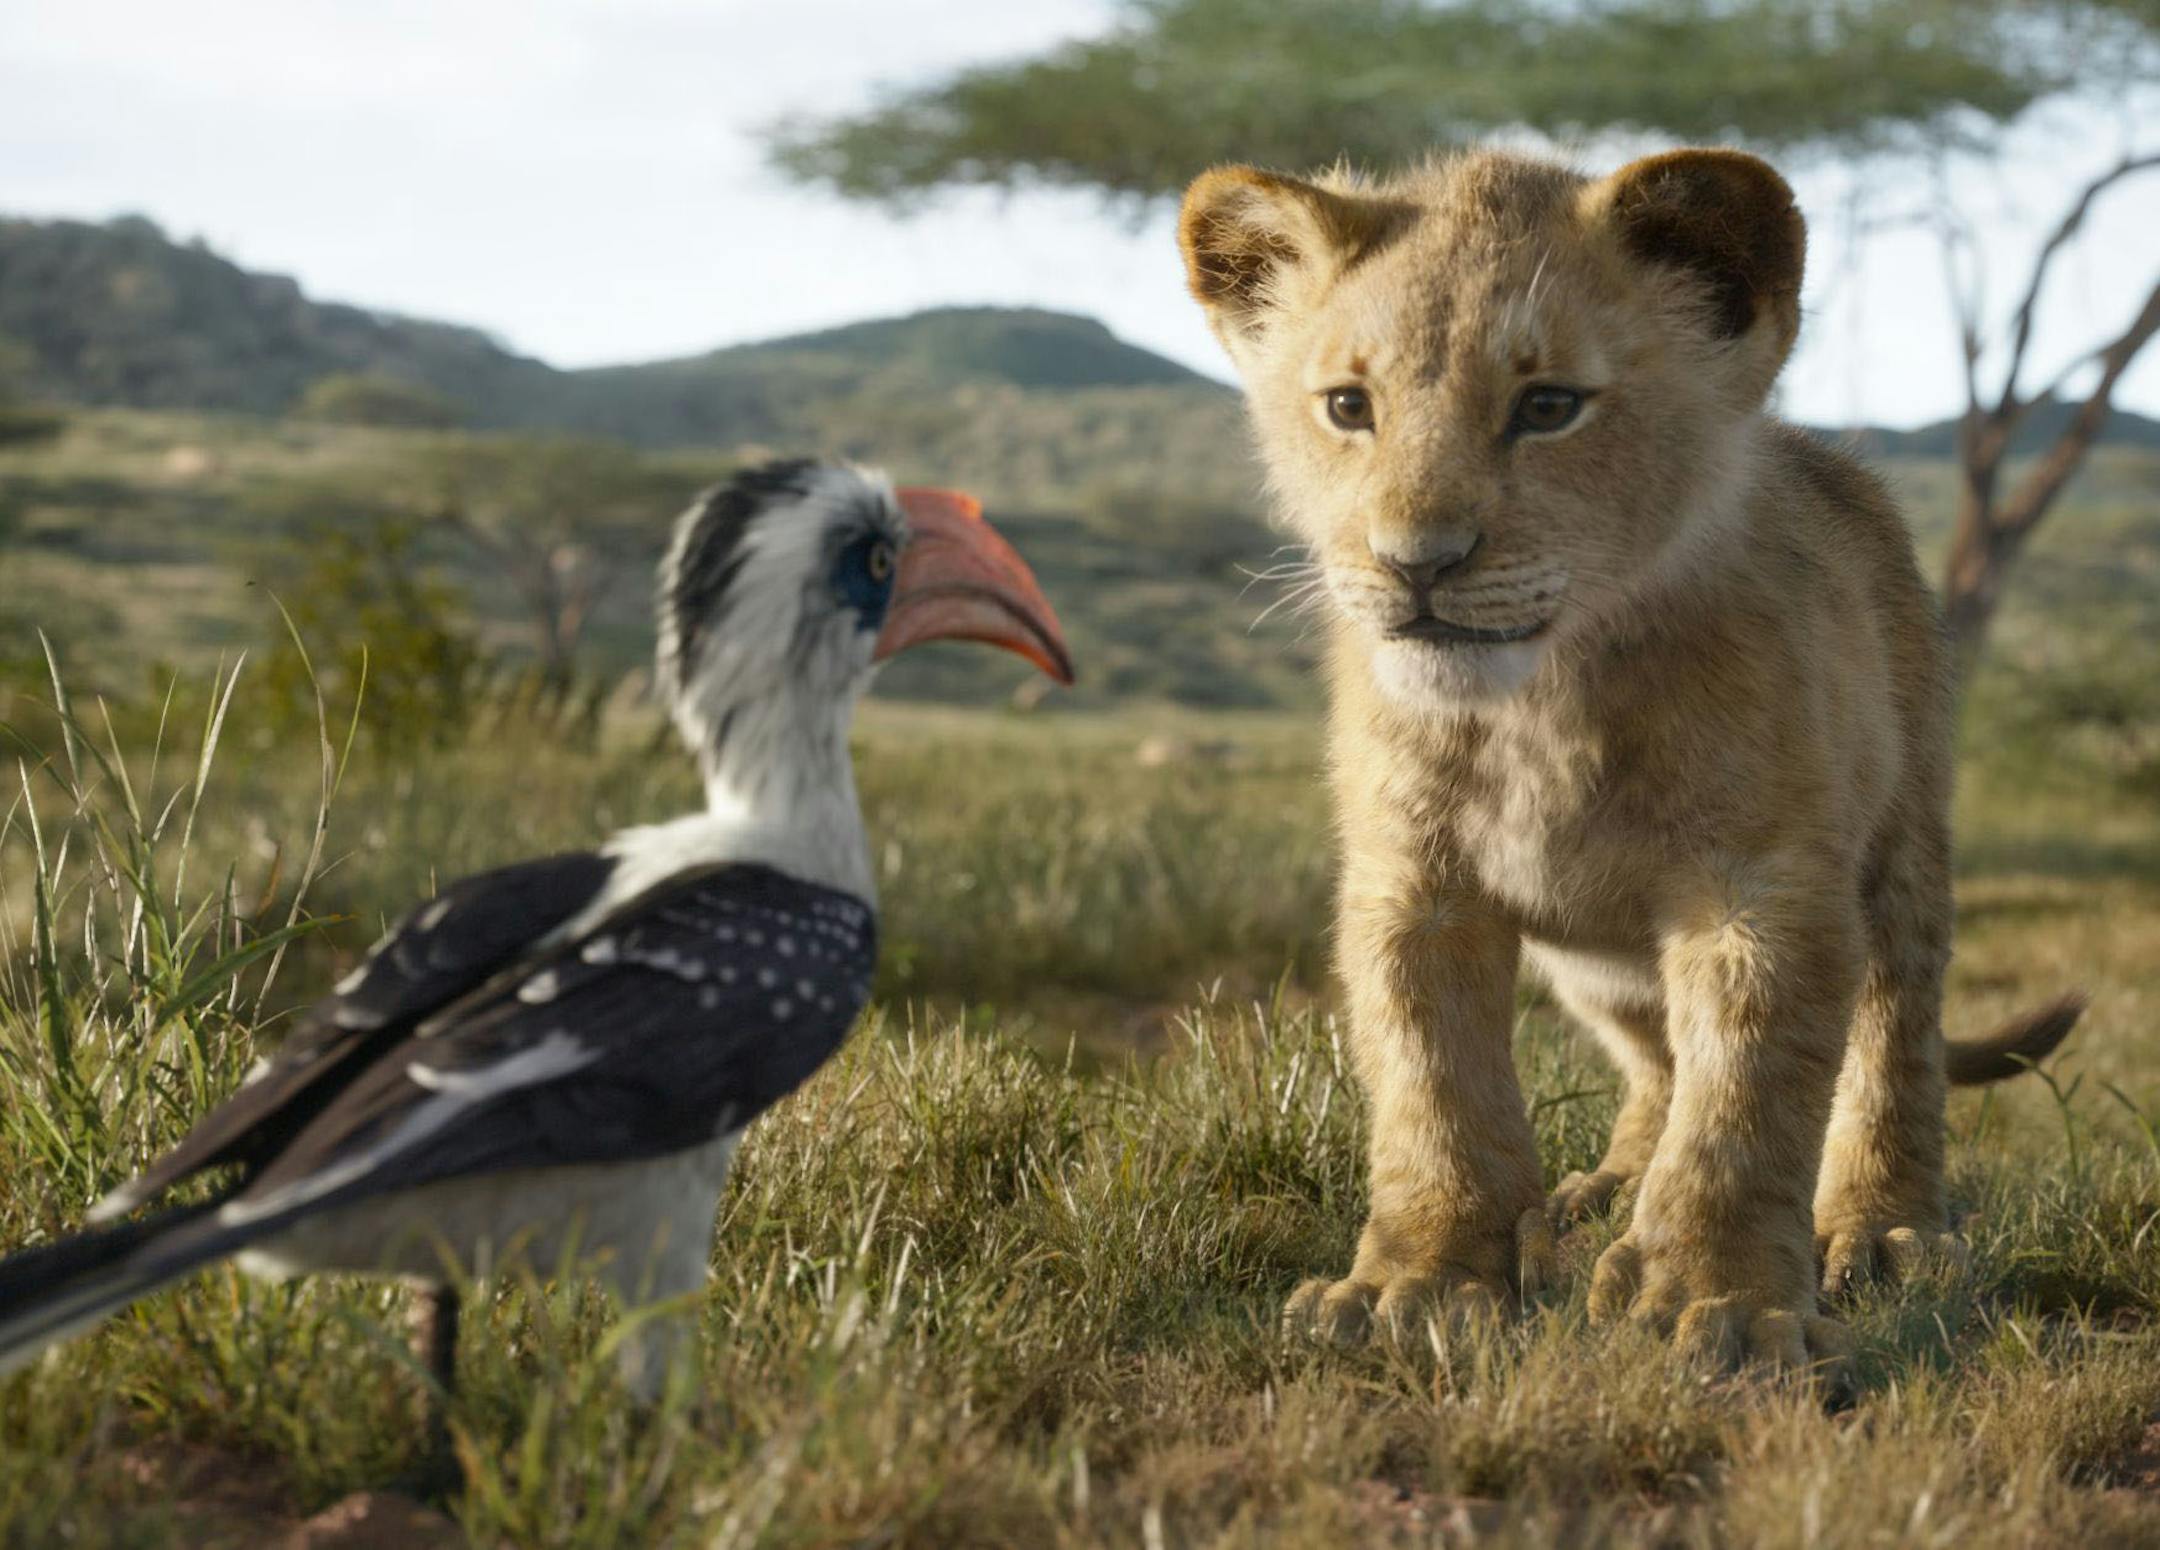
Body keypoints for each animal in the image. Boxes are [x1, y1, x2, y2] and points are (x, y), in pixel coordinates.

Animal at [1177, 146, 2082, 1371]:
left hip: (1904, 846)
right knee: (1657, 1060)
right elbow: (1432, 1087)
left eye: (1548, 406)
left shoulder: (1761, 887)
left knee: (1895, 1035)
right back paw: (1601, 1192)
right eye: (1349, 407)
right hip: (1597, 964)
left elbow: (1746, 1101)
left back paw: (1883, 1228)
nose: (1416, 563)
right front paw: (1418, 1281)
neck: (1540, 707)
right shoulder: (1412, 887)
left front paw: (1721, 1302)